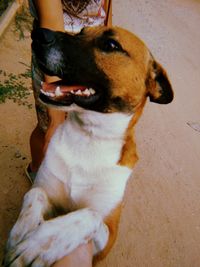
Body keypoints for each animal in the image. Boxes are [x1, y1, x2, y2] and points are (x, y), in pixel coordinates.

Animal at [4, 26, 173, 266]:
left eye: (111, 45)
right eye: (81, 32)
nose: (38, 33)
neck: (90, 137)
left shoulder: (107, 238)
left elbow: (89, 215)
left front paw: (42, 243)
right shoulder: (45, 188)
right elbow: (35, 194)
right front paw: (22, 230)